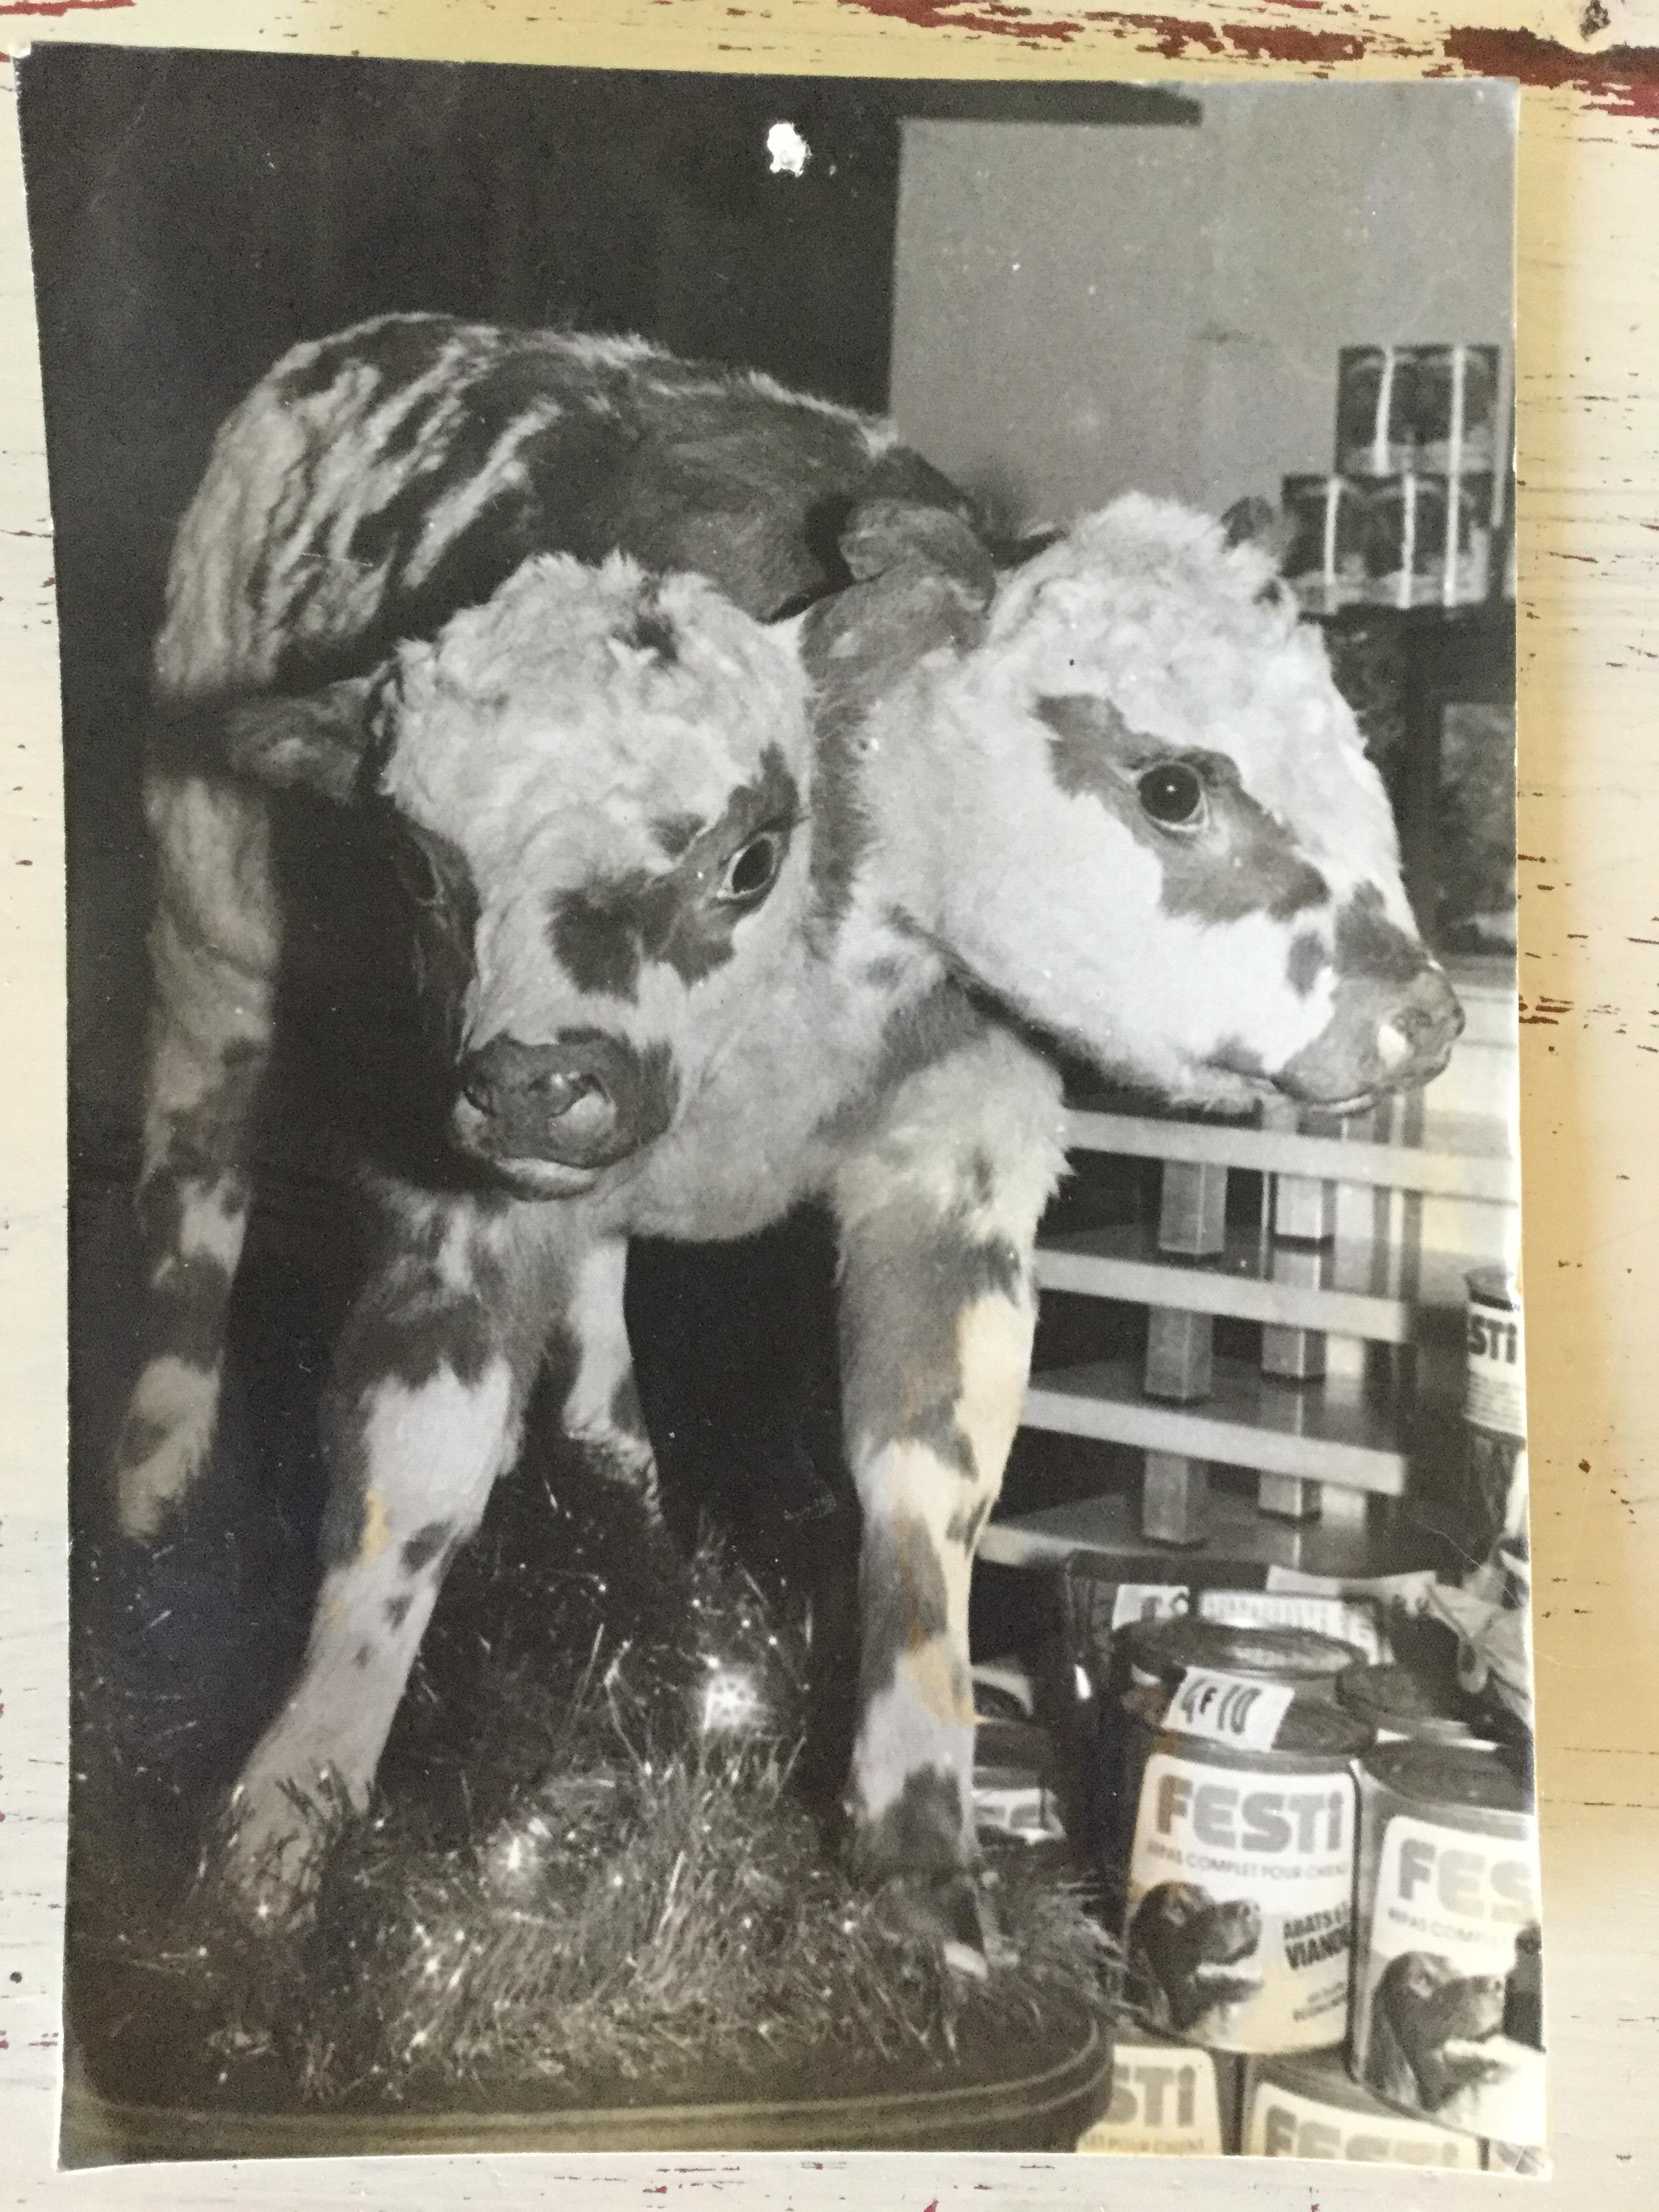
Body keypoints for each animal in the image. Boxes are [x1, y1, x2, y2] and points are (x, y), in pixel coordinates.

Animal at [120, 316, 1469, 1920]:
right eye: (1171, 783)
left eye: (748, 855)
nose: (1426, 1011)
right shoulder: (453, 1166)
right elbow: (410, 1483)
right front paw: (280, 1830)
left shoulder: (961, 1150)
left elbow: (928, 1472)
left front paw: (922, 1873)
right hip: (207, 942)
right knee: (194, 1195)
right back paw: (151, 1492)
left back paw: (618, 1475)